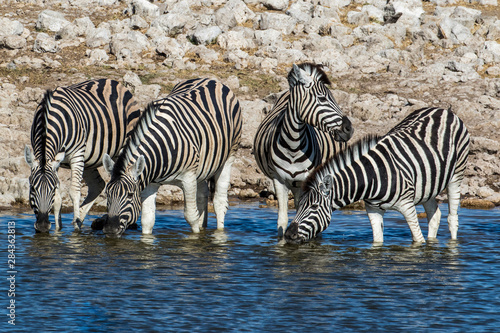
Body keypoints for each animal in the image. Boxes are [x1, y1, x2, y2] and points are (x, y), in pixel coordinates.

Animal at [23, 79, 140, 232]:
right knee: (98, 185)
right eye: (32, 187)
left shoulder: (77, 154)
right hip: (89, 159)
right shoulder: (56, 160)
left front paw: (75, 229)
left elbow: (74, 192)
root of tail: (114, 82)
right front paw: (58, 229)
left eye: (52, 188)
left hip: (120, 148)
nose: (42, 226)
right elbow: (58, 199)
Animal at [100, 77, 241, 236]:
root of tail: (210, 79)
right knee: (202, 195)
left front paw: (196, 237)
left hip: (229, 156)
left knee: (219, 202)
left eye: (130, 195)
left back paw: (219, 231)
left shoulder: (188, 178)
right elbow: (147, 220)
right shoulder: (151, 183)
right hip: (202, 168)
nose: (110, 230)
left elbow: (191, 215)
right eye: (107, 194)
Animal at [252, 63, 354, 236]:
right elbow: (282, 221)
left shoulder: (307, 181)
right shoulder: (278, 180)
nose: (349, 129)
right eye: (322, 98)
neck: (292, 146)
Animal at [286, 107, 468, 243]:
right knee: (434, 215)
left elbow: (418, 240)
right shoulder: (373, 210)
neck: (372, 177)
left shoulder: (407, 206)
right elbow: (377, 242)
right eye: (298, 205)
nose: (288, 234)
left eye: (314, 207)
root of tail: (443, 110)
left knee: (452, 219)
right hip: (427, 184)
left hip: (456, 175)